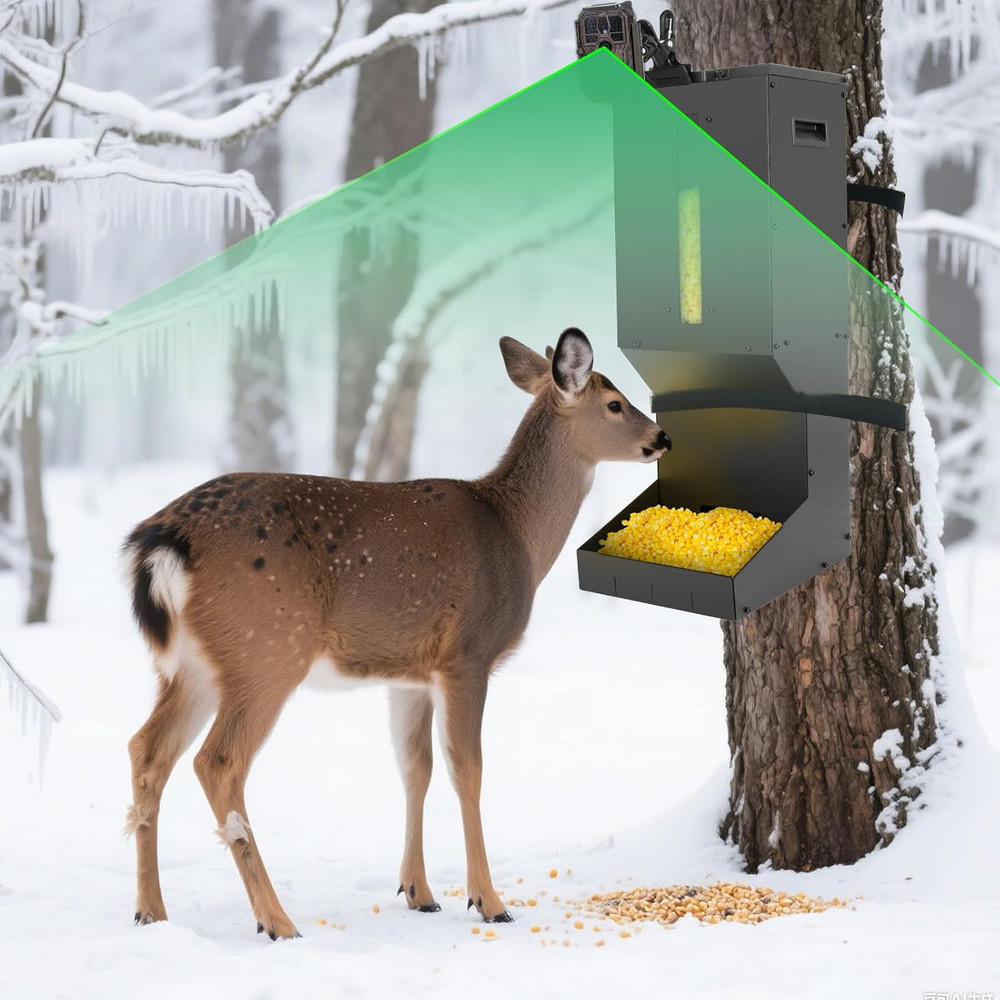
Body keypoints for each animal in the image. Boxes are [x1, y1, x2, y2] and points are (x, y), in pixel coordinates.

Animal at [123, 327, 671, 939]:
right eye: (615, 403)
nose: (662, 437)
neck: (516, 533)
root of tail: (162, 541)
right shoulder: (467, 655)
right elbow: (467, 770)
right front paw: (489, 901)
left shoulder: (410, 674)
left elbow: (416, 769)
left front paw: (420, 892)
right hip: (265, 651)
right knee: (217, 763)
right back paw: (277, 921)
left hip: (189, 665)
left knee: (146, 750)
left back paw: (151, 911)